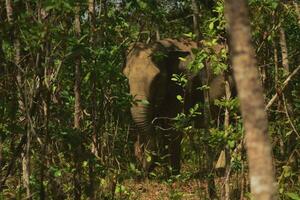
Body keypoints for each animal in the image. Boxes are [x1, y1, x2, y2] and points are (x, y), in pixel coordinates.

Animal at [123, 38, 233, 175]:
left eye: (157, 78)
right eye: (126, 77)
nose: (141, 170)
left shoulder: (181, 86)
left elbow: (173, 126)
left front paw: (174, 175)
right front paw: (166, 173)